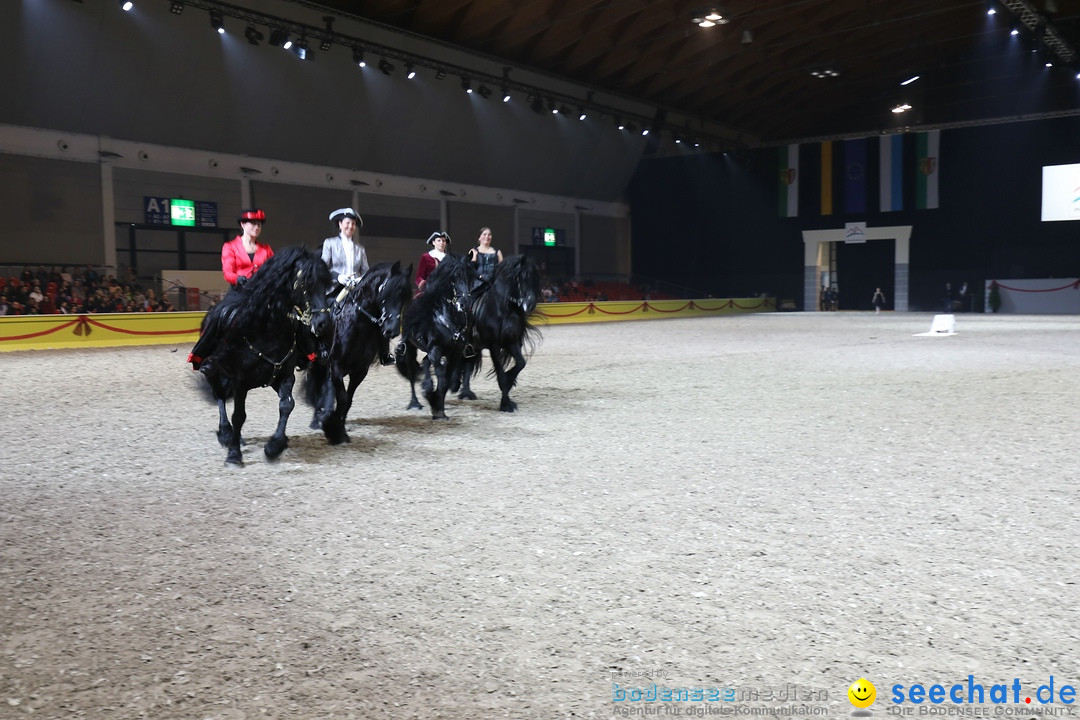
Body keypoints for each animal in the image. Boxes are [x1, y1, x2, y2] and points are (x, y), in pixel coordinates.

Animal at [190, 245, 330, 464]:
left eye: (326, 282)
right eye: (306, 282)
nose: (323, 323)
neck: (266, 329)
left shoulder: (284, 375)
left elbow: (287, 405)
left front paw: (275, 446)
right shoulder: (240, 381)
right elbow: (239, 415)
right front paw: (234, 455)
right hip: (212, 369)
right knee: (219, 395)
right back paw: (226, 435)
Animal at [308, 260, 416, 444]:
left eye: (405, 297)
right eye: (387, 292)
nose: (392, 330)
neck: (356, 324)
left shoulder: (360, 371)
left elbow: (348, 400)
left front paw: (340, 430)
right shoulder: (336, 368)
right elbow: (343, 399)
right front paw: (334, 430)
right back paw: (317, 419)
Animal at [397, 254, 486, 418]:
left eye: (471, 277)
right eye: (454, 277)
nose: (464, 303)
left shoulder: (456, 351)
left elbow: (448, 379)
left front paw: (439, 404)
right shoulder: (435, 348)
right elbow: (441, 377)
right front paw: (435, 404)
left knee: (426, 363)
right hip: (410, 349)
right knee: (412, 374)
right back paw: (414, 403)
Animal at [453, 253, 540, 410]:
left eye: (536, 276)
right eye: (522, 276)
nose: (530, 304)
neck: (503, 308)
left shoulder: (512, 342)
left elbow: (521, 363)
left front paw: (511, 380)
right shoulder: (494, 345)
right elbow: (500, 373)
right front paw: (506, 404)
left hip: (472, 347)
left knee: (467, 364)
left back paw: (466, 392)